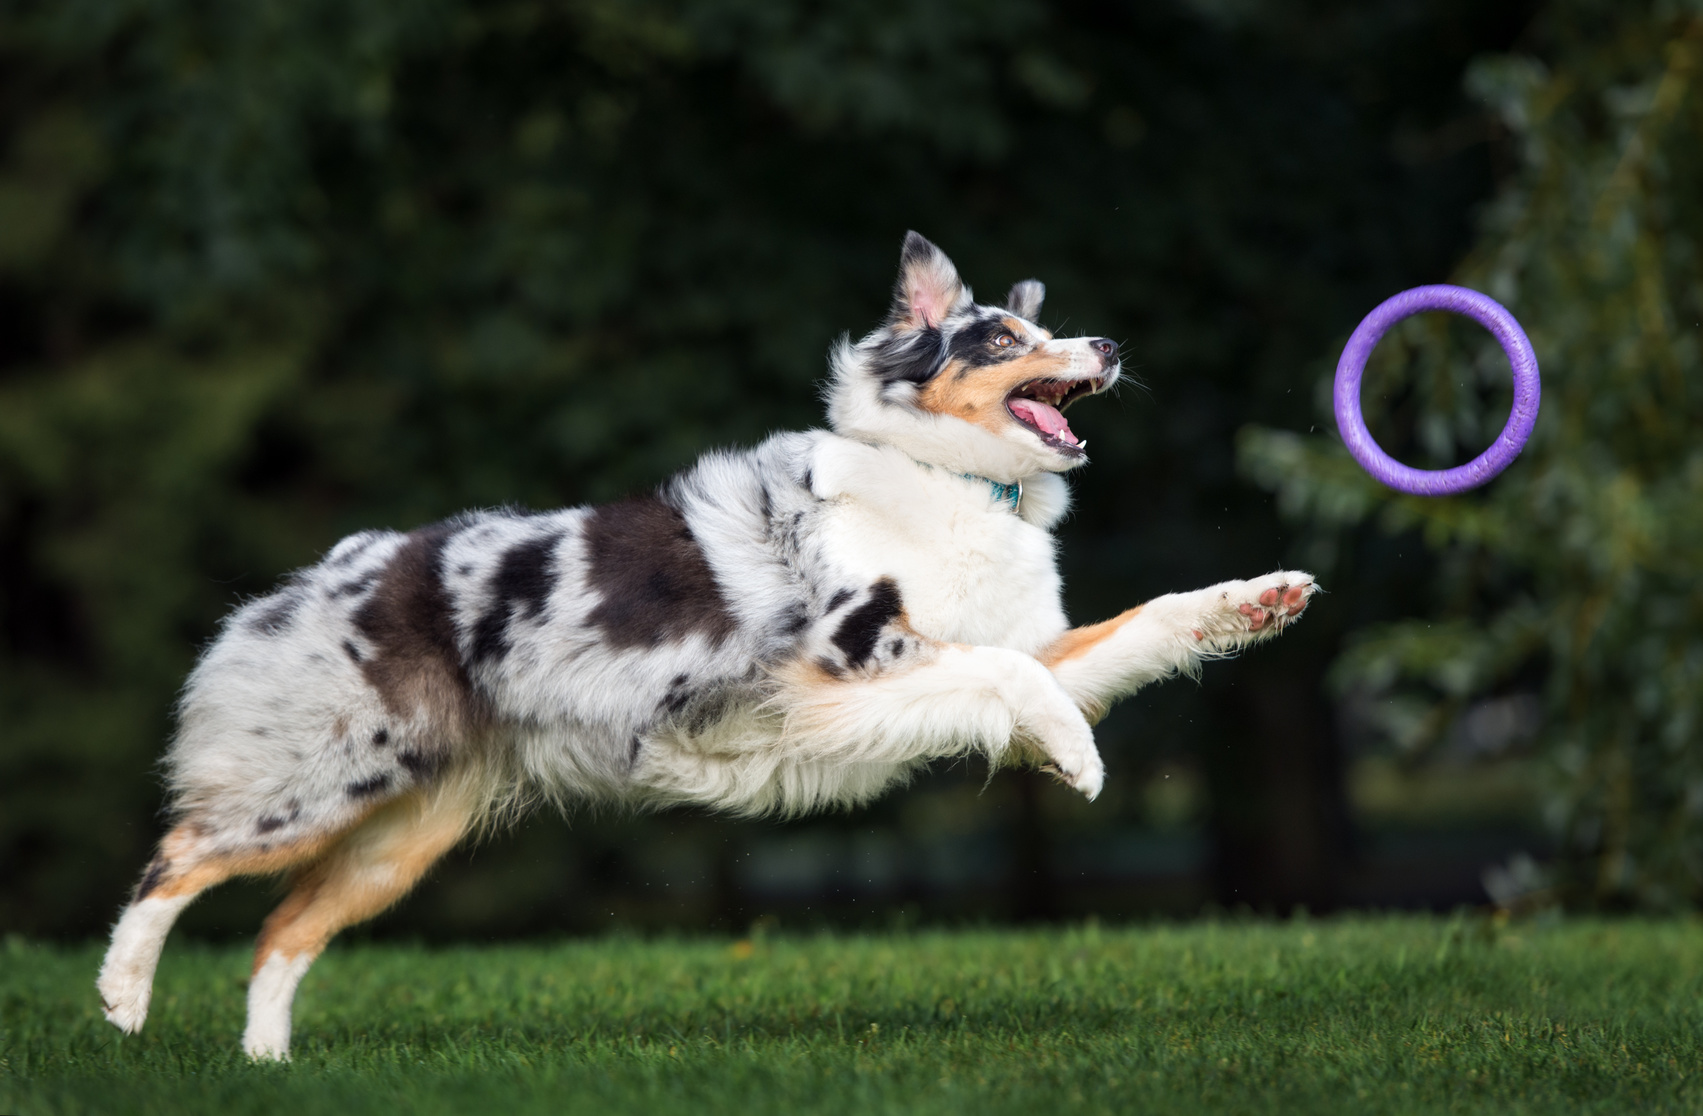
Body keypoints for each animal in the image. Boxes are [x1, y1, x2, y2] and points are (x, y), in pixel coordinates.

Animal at [96, 233, 1314, 1056]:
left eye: (1049, 329)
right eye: (1005, 338)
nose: (1105, 342)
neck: (946, 482)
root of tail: (327, 570)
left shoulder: (987, 658)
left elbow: (1133, 625)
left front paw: (1259, 599)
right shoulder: (847, 656)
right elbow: (1010, 675)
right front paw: (1077, 757)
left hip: (402, 833)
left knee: (281, 930)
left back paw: (268, 1068)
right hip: (322, 779)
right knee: (177, 856)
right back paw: (121, 1001)